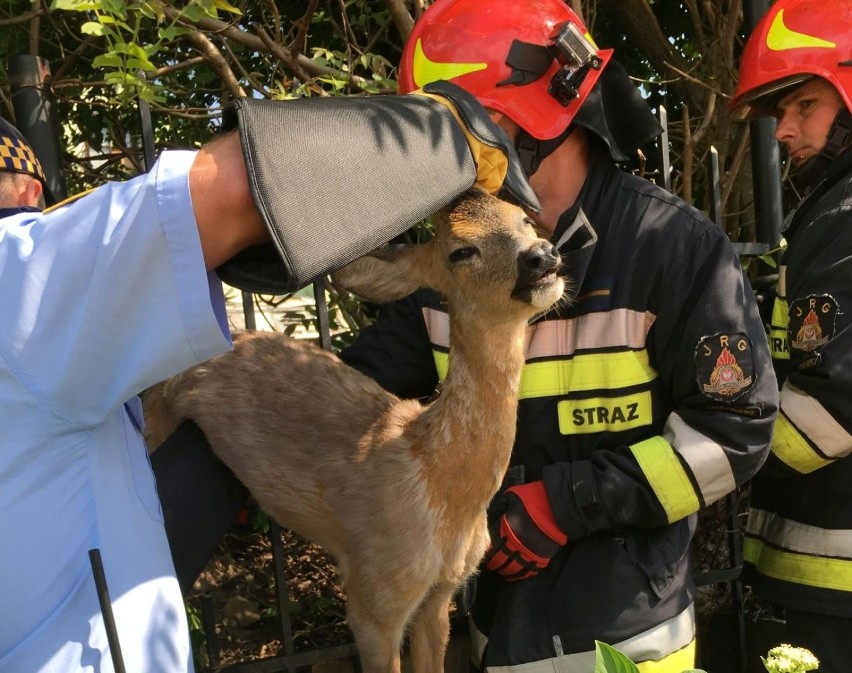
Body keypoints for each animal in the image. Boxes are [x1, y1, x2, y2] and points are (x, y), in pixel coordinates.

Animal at [143, 188, 564, 672]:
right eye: (460, 251)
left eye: (524, 220)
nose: (542, 255)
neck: (438, 486)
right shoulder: (373, 597)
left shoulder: (440, 593)